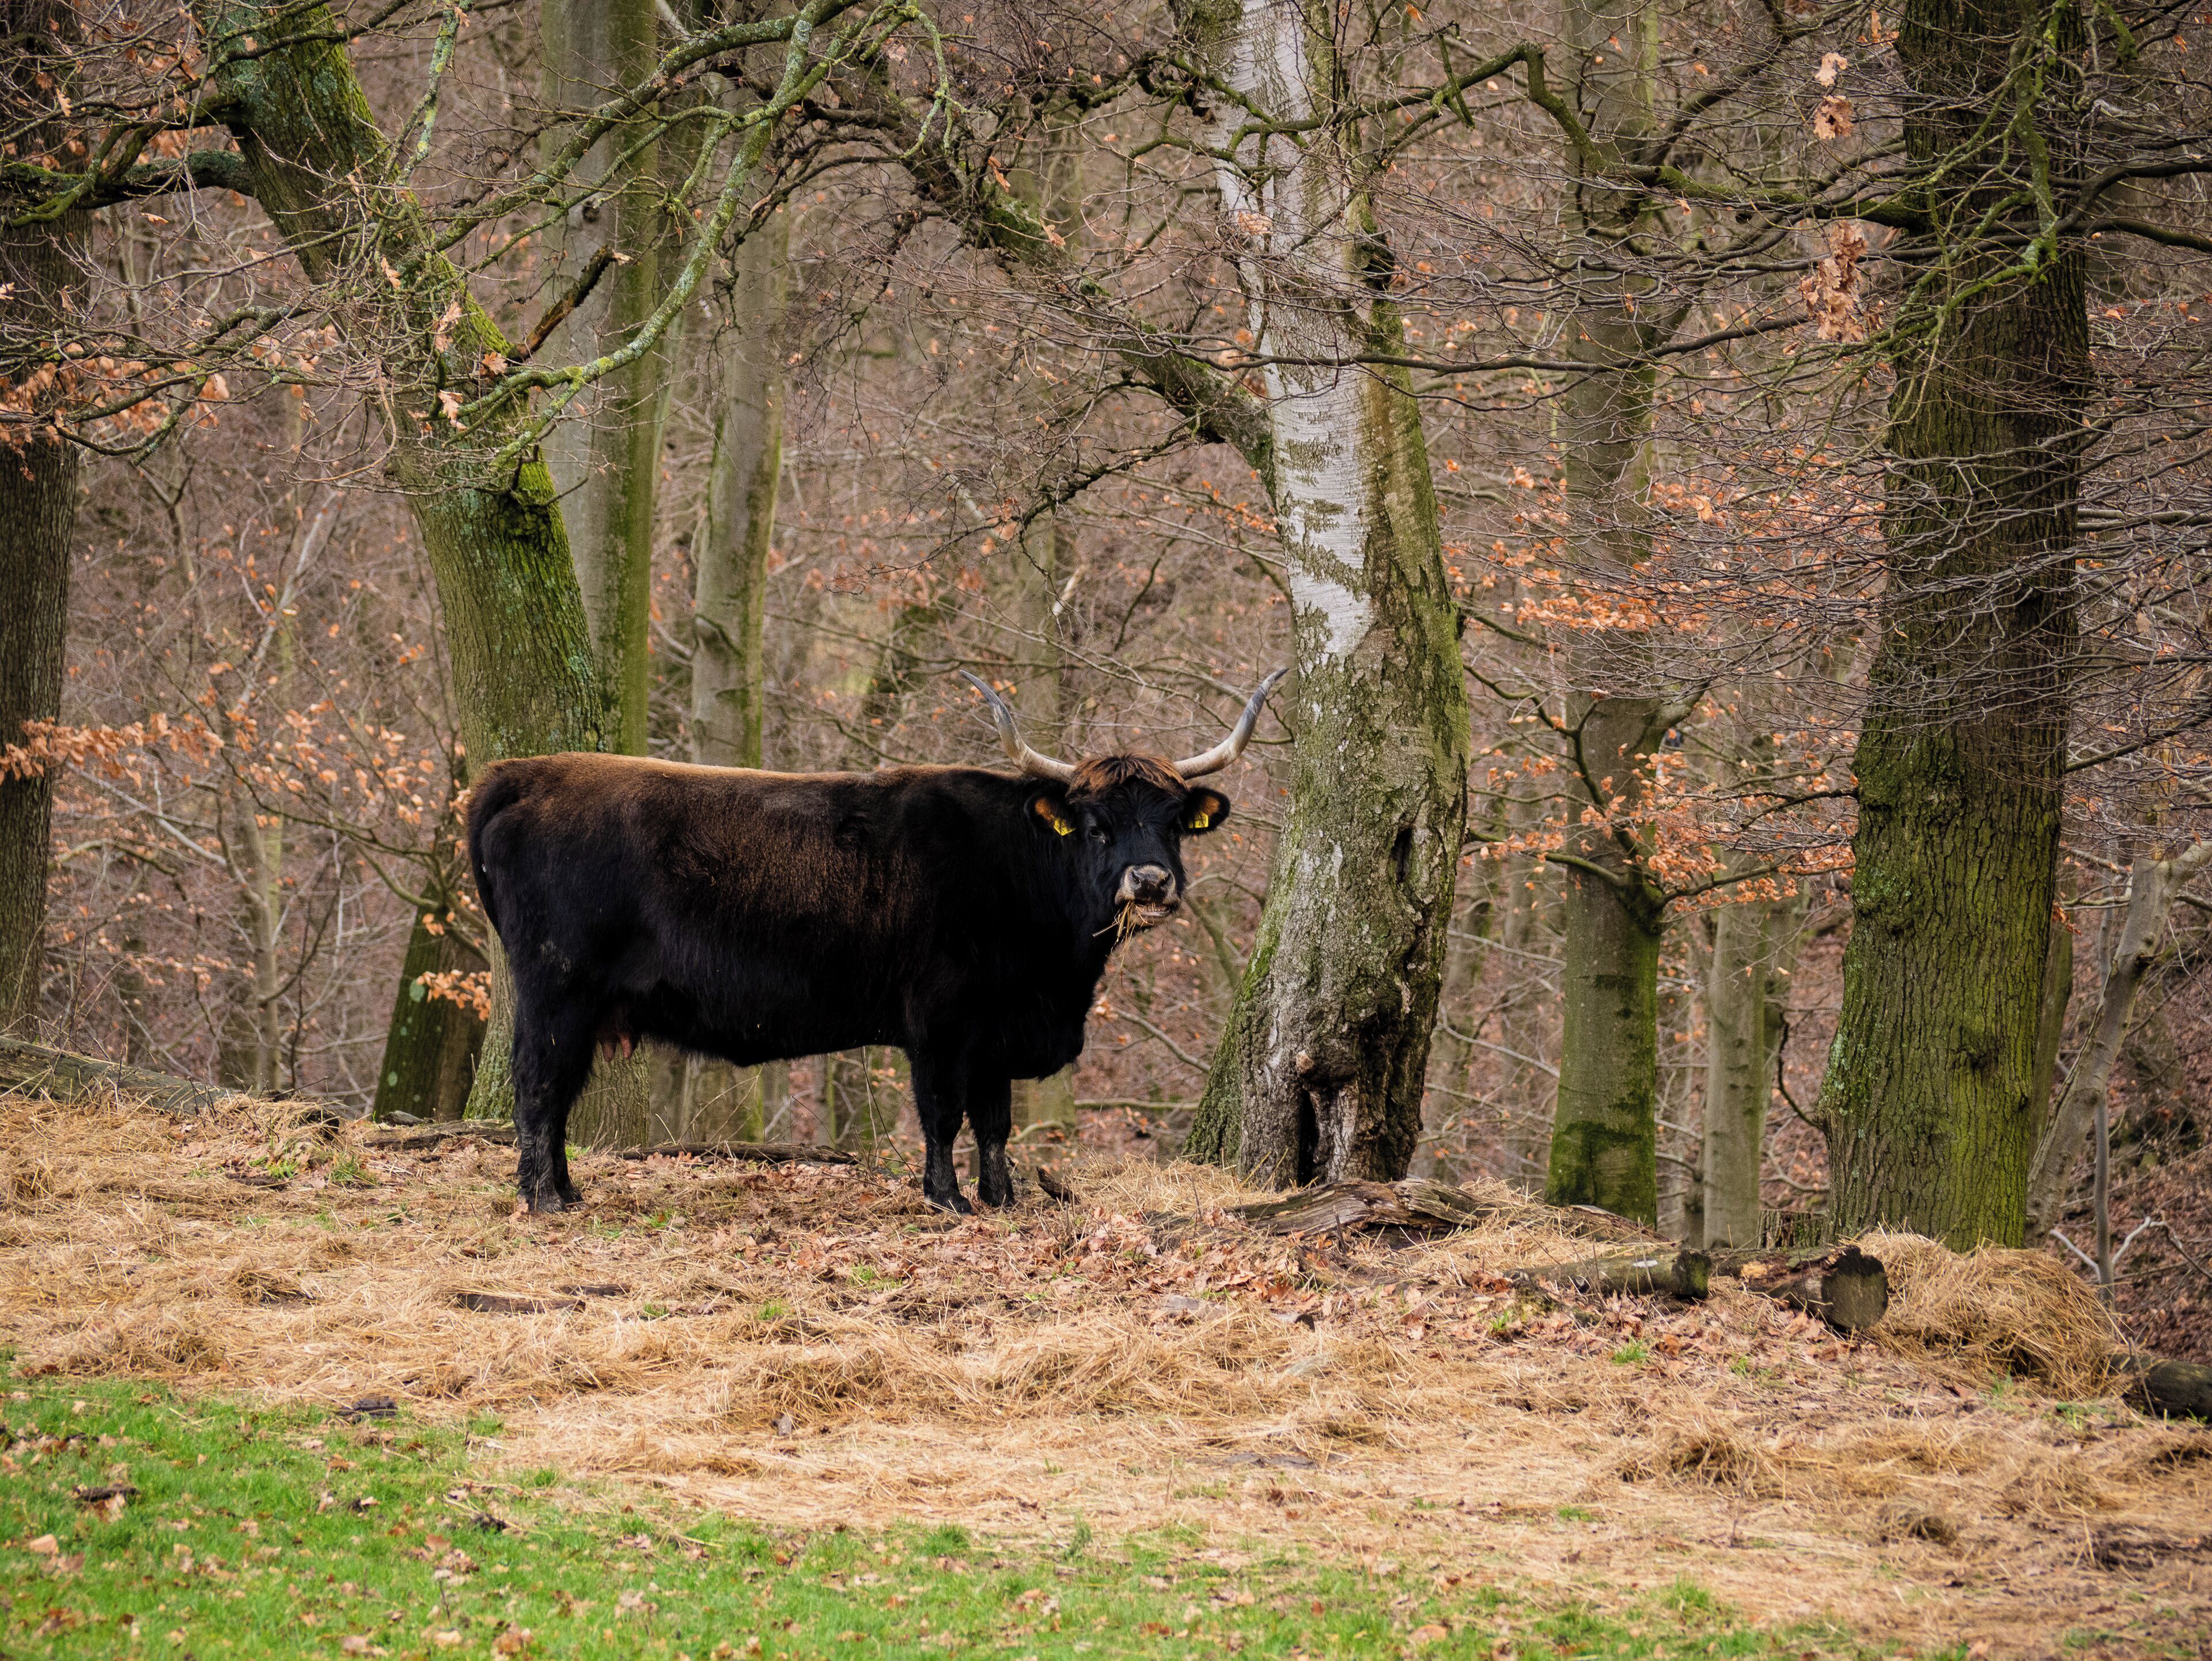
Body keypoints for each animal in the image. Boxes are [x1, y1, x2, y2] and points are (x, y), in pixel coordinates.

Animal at [464, 669, 1287, 1215]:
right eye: (1095, 824)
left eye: (1173, 821)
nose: (1148, 882)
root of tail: (526, 773)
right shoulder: (940, 1022)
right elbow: (943, 1114)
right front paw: (947, 1199)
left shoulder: (997, 1031)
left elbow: (994, 1122)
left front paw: (1002, 1198)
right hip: (557, 992)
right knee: (538, 1085)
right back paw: (546, 1199)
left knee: (557, 1091)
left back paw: (566, 1189)